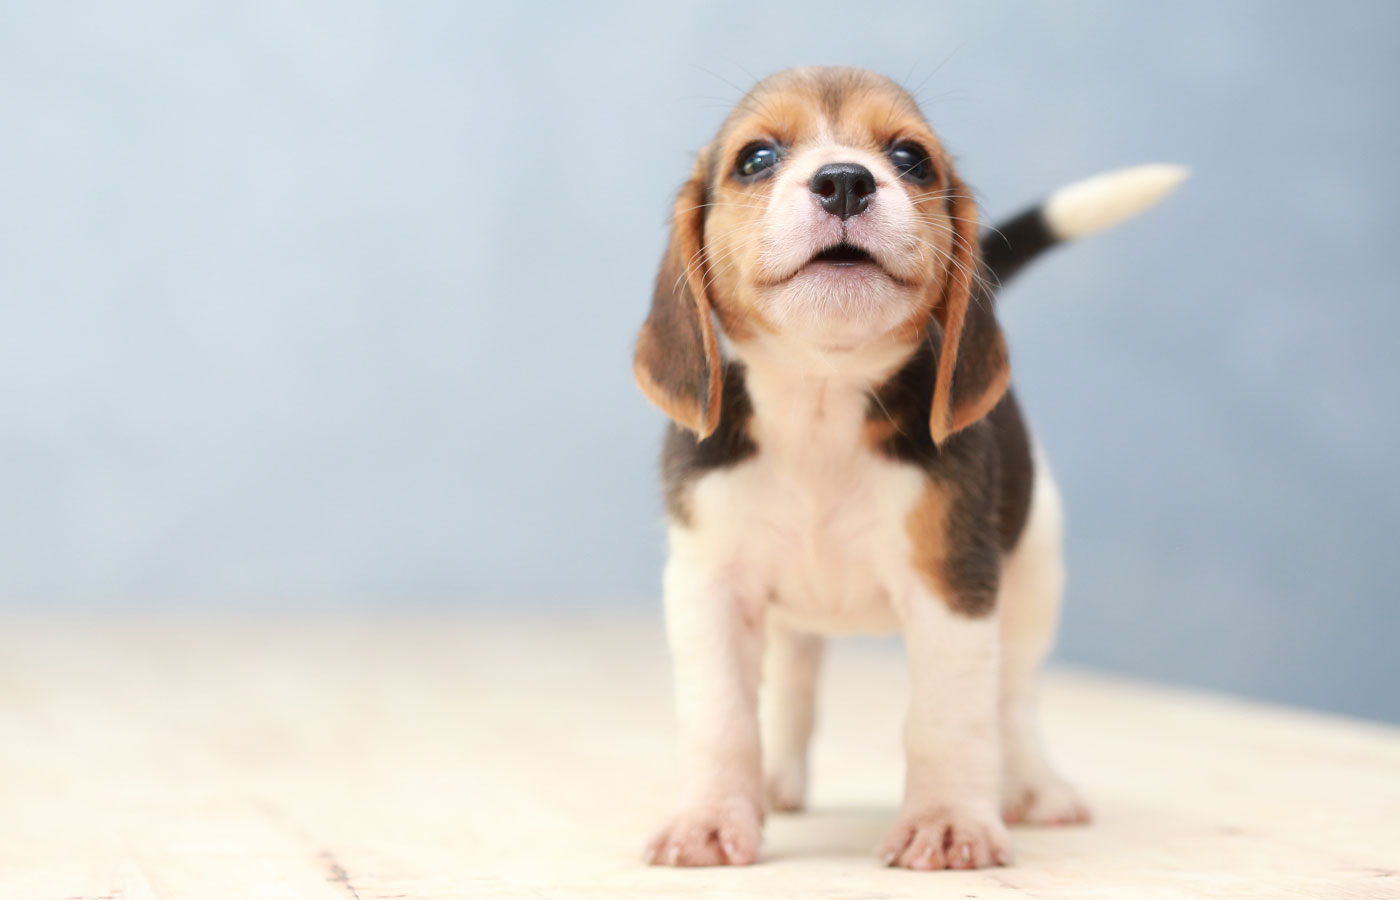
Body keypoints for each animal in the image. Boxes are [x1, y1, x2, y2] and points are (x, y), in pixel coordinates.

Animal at [635, 66, 1181, 867]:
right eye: (757, 158)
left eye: (911, 158)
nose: (843, 180)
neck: (822, 404)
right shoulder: (710, 586)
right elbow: (723, 717)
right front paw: (711, 817)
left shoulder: (952, 586)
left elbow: (948, 717)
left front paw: (949, 821)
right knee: (795, 685)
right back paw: (777, 780)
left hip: (1033, 571)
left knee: (1012, 699)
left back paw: (1032, 785)